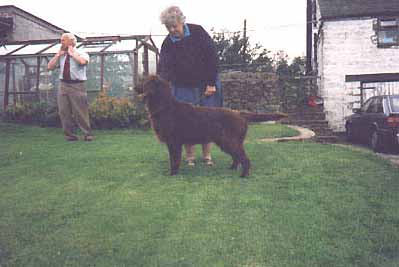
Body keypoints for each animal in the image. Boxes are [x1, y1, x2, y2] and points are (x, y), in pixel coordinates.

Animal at [135, 75, 288, 178]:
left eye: (145, 82)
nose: (134, 87)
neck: (165, 107)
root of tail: (240, 114)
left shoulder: (173, 142)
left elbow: (174, 160)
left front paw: (172, 173)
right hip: (227, 141)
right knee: (237, 157)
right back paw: (232, 168)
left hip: (229, 141)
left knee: (244, 158)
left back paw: (243, 175)